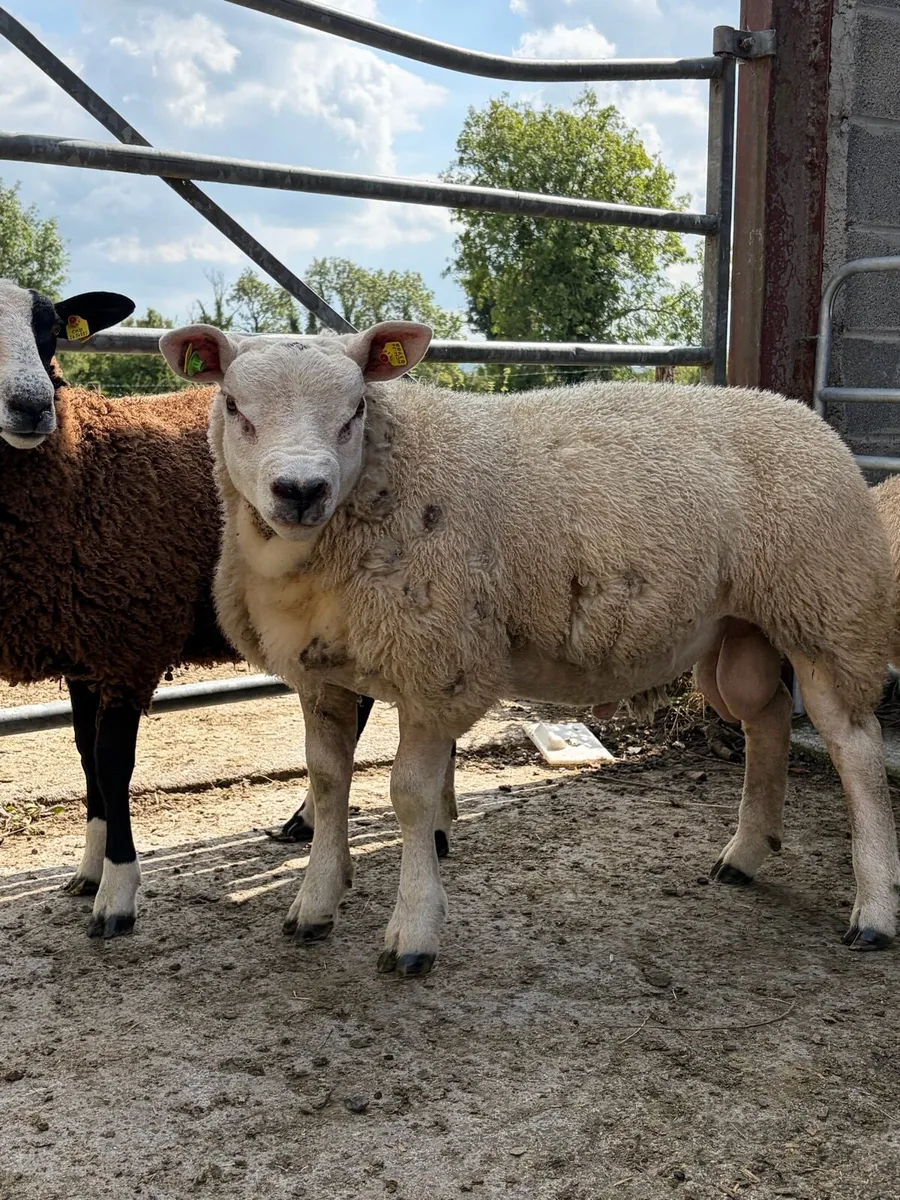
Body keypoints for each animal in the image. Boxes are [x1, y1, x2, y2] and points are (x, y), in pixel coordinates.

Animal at [161, 317, 900, 977]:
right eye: (234, 406)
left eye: (355, 410)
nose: (300, 491)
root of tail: (804, 416)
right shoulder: (322, 671)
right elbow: (326, 780)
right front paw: (314, 904)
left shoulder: (439, 664)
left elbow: (410, 797)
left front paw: (413, 932)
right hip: (740, 630)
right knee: (765, 716)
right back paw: (745, 853)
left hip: (827, 610)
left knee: (855, 748)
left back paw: (874, 911)